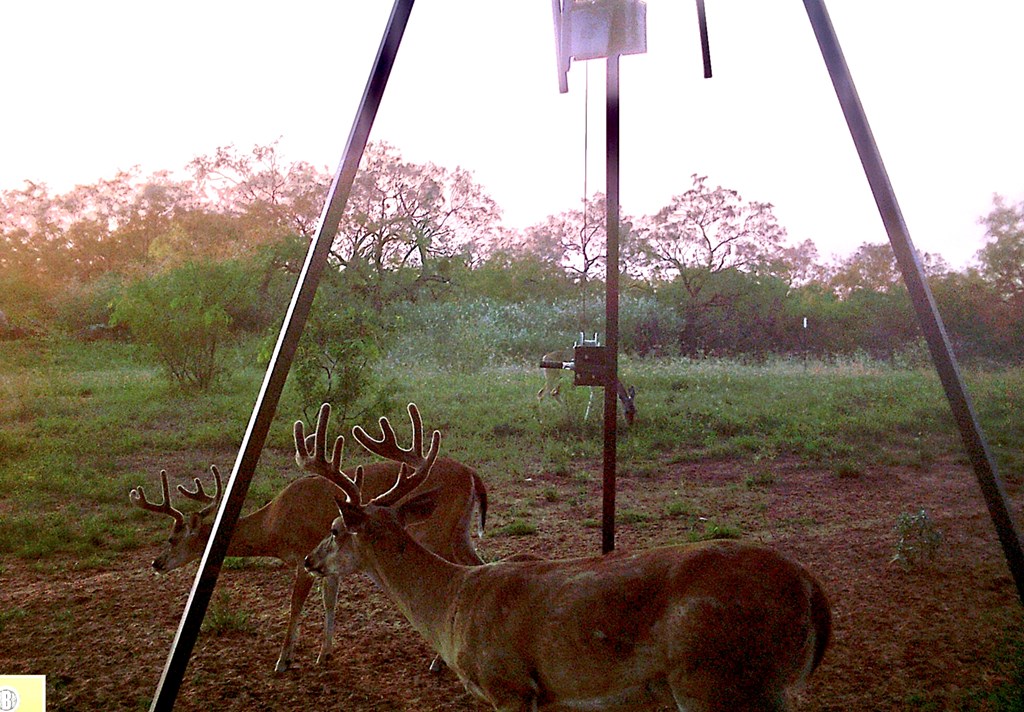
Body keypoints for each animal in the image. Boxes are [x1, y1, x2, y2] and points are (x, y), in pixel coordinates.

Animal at [128, 403, 487, 672]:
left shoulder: (303, 555)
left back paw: (439, 660)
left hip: (439, 531)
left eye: (172, 539)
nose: (156, 563)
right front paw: (324, 653)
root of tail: (474, 474)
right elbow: (330, 600)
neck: (272, 526)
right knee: (478, 561)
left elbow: (295, 605)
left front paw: (283, 660)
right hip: (459, 530)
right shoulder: (330, 562)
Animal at [305, 405, 831, 712]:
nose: (310, 561)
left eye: (334, 530)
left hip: (716, 680)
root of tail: (811, 588)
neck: (451, 605)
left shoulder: (508, 683)